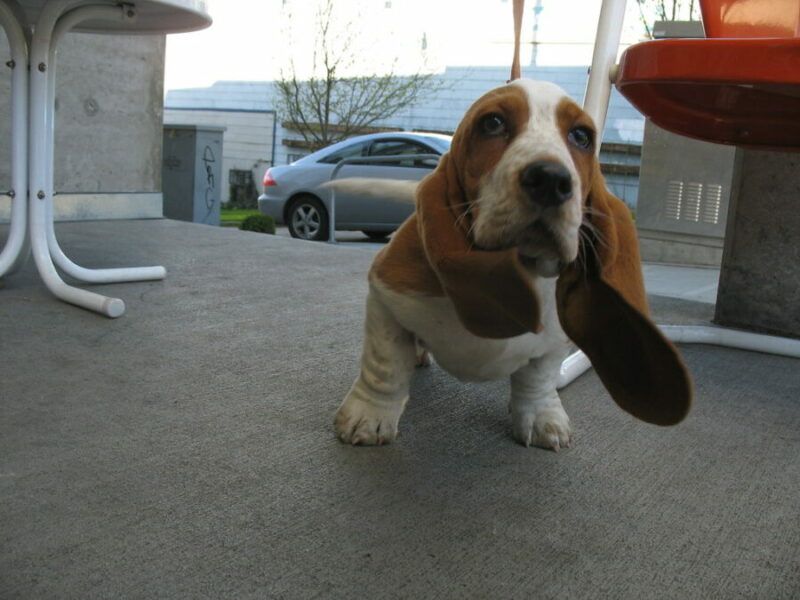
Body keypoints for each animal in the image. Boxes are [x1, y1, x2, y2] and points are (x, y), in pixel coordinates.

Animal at [328, 77, 692, 448]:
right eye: (492, 123)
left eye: (581, 136)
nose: (551, 179)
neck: (520, 267)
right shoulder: (385, 297)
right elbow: (384, 365)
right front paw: (370, 416)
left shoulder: (555, 342)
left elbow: (539, 378)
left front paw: (542, 417)